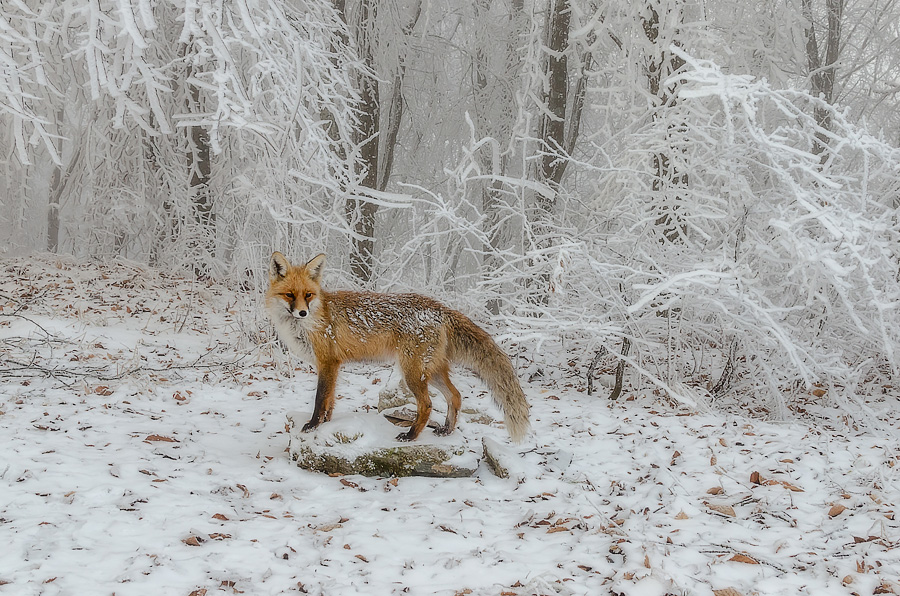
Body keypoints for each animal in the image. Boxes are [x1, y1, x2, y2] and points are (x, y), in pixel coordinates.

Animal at [262, 251, 528, 442]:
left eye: (308, 295)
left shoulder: (328, 362)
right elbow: (330, 402)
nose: (302, 313)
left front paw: (312, 425)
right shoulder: (333, 365)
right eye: (289, 295)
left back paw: (411, 436)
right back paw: (446, 431)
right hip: (432, 371)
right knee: (455, 396)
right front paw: (326, 425)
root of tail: (440, 307)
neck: (313, 320)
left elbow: (320, 400)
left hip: (412, 372)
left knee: (427, 404)